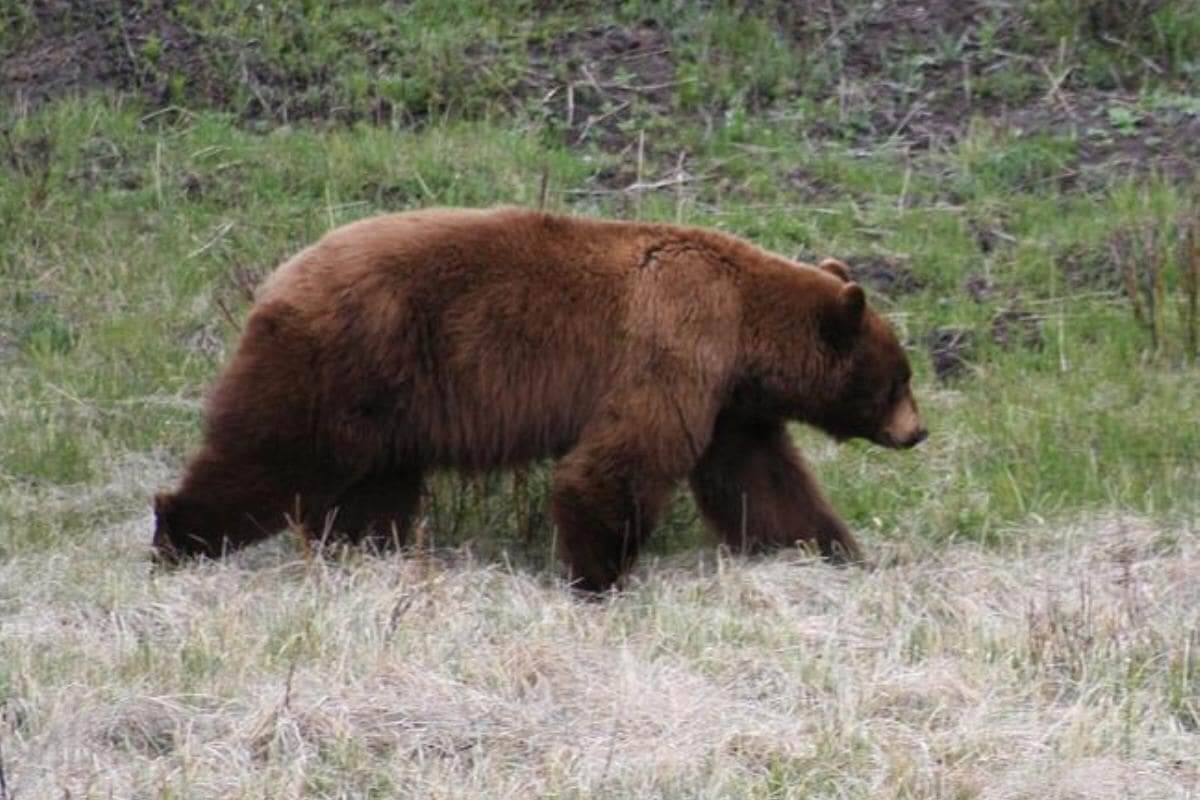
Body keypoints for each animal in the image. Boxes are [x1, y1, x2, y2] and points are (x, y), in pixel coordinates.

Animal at [154, 209, 921, 592]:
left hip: (388, 405)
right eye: (899, 379)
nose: (918, 433)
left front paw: (831, 552)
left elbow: (762, 482)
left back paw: (367, 555)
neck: (744, 327)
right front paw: (599, 576)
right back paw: (178, 537)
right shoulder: (677, 343)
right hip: (339, 362)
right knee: (269, 456)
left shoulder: (733, 406)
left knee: (372, 490)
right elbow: (621, 459)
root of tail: (279, 277)